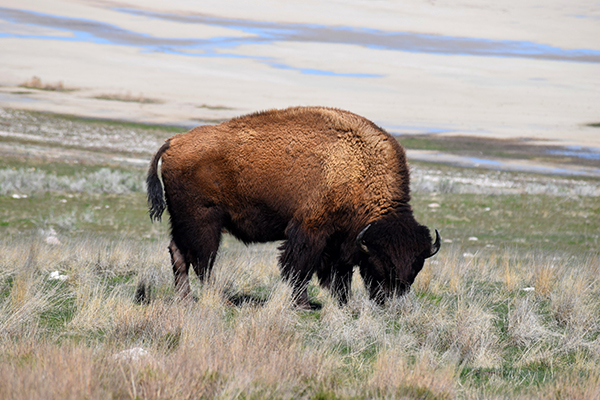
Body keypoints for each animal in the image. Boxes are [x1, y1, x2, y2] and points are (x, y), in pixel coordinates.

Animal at [147, 104, 440, 308]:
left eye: (416, 266)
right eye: (384, 262)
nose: (390, 302)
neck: (359, 168)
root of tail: (175, 141)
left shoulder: (340, 241)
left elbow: (337, 274)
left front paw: (342, 302)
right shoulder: (311, 231)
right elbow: (300, 268)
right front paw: (303, 305)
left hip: (183, 222)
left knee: (179, 253)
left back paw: (186, 299)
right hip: (204, 222)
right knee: (202, 261)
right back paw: (221, 300)